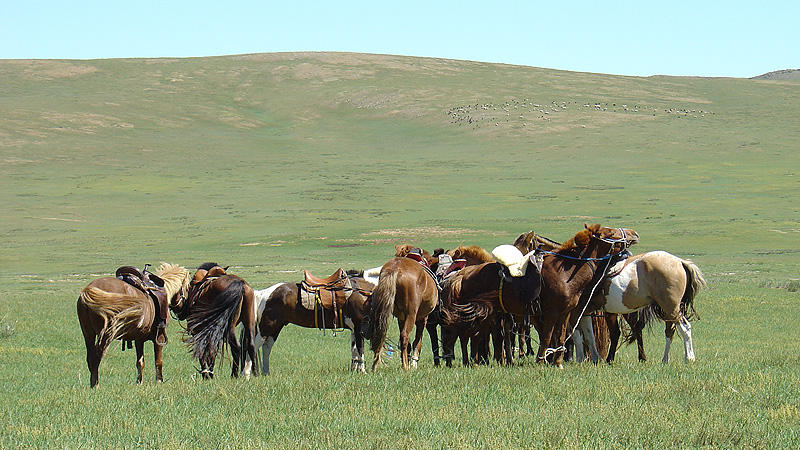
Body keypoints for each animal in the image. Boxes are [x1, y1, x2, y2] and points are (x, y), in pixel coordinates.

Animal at [535, 224, 639, 367]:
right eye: (612, 233)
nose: (634, 233)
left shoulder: (573, 312)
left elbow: (574, 335)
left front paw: (577, 358)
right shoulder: (579, 312)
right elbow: (585, 335)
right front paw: (589, 358)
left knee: (623, 332)